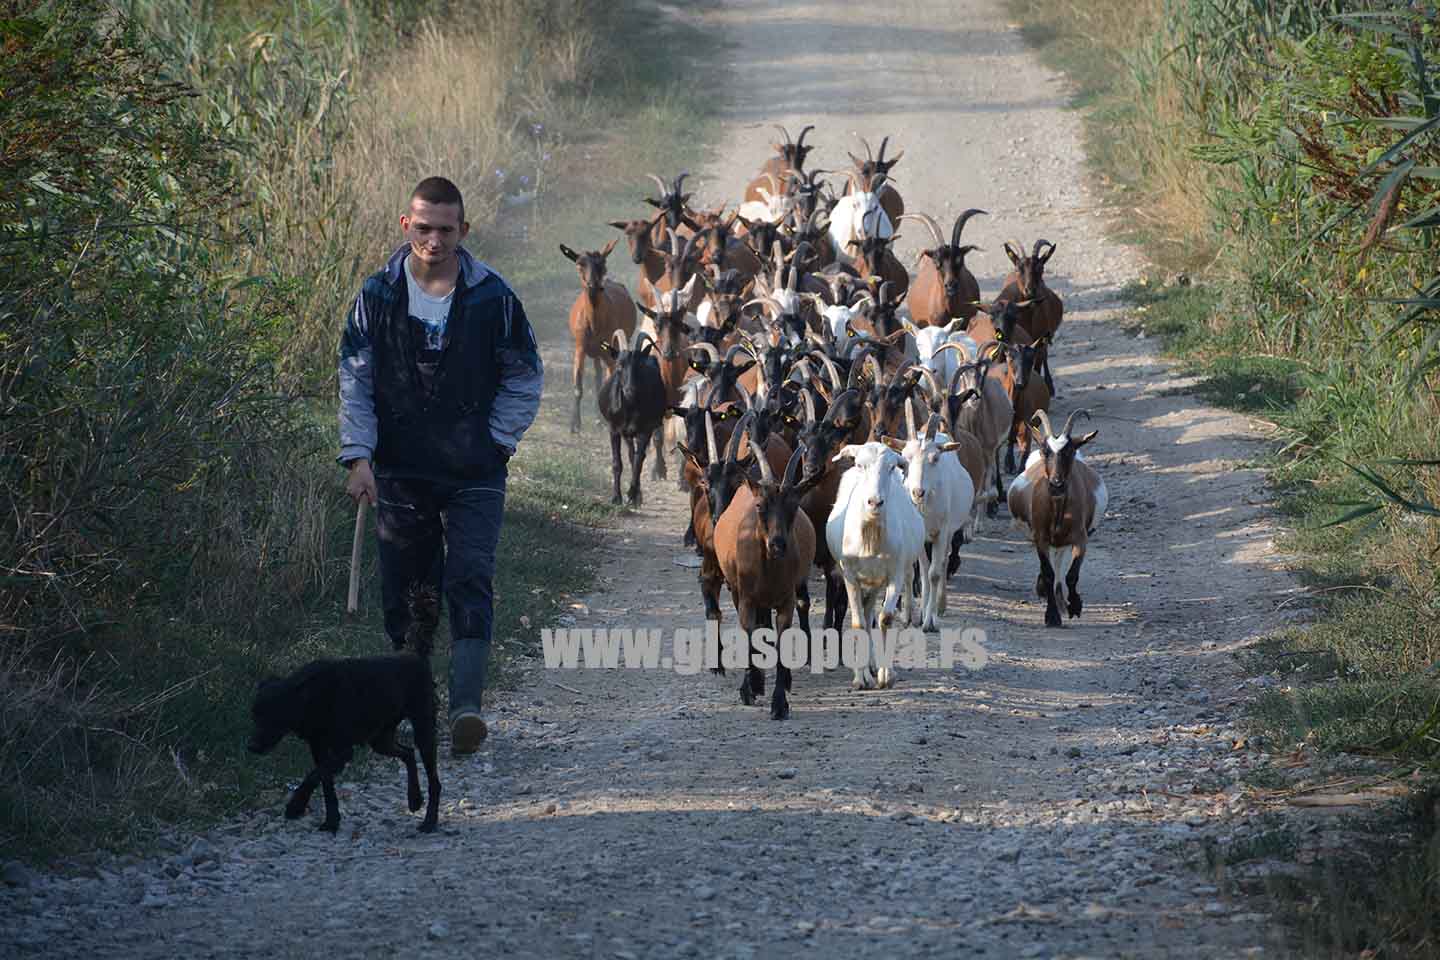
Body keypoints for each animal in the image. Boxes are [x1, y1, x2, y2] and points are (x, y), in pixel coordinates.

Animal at [247, 581, 440, 834]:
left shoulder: (342, 751)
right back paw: (414, 799)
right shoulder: (319, 748)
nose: (251, 747)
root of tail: (414, 653)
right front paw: (331, 821)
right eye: (254, 716)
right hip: (379, 738)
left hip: (423, 727)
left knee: (434, 779)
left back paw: (429, 821)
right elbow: (325, 783)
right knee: (407, 753)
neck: (313, 696)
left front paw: (295, 806)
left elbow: (315, 775)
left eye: (273, 716)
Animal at [835, 443, 921, 690]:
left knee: (871, 614)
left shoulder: (896, 573)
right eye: (859, 464)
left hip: (876, 581)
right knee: (865, 618)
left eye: (892, 467)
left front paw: (886, 675)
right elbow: (858, 624)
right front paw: (859, 679)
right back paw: (866, 672)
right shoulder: (849, 575)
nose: (875, 502)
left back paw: (874, 668)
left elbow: (885, 619)